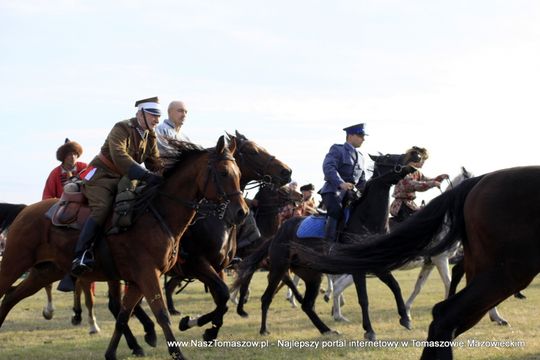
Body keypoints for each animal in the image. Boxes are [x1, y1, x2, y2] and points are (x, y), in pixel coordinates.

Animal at [0, 136, 249, 360]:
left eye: (239, 174)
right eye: (224, 173)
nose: (242, 212)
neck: (156, 213)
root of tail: (25, 210)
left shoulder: (142, 280)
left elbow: (123, 316)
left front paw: (113, 353)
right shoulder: (152, 274)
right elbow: (162, 314)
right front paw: (180, 347)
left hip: (46, 272)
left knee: (10, 298)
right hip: (14, 264)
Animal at [230, 154, 416, 338]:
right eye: (389, 157)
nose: (415, 157)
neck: (366, 221)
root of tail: (277, 234)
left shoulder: (378, 265)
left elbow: (396, 287)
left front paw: (405, 319)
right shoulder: (358, 269)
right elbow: (364, 299)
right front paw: (369, 330)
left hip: (312, 275)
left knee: (307, 305)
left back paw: (326, 330)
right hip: (279, 268)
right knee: (267, 297)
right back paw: (263, 329)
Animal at [286, 167, 540, 360]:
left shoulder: (430, 264)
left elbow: (418, 287)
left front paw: (407, 312)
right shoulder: (441, 259)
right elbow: (448, 283)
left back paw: (335, 311)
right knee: (336, 283)